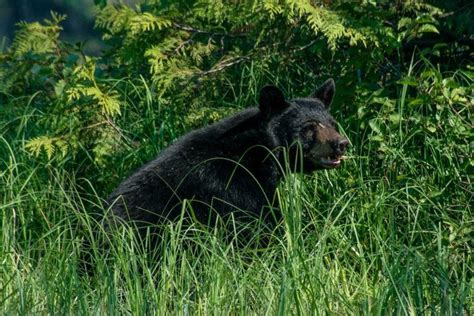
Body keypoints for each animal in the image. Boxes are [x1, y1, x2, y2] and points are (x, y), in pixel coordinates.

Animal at [107, 79, 348, 232]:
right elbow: (258, 225)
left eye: (333, 124)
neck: (258, 152)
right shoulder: (233, 187)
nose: (341, 144)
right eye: (309, 126)